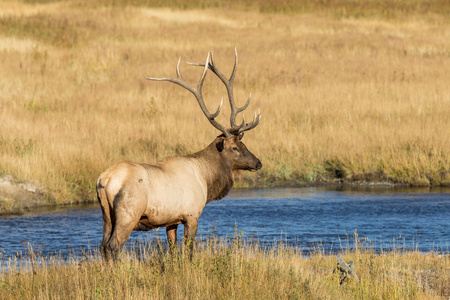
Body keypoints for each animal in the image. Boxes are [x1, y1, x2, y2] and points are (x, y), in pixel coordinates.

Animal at [96, 48, 262, 260]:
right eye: (235, 148)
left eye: (244, 143)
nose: (258, 163)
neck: (206, 179)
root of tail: (105, 180)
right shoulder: (191, 215)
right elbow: (188, 251)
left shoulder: (171, 221)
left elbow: (173, 251)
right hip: (128, 214)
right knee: (112, 247)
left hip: (106, 215)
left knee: (102, 246)